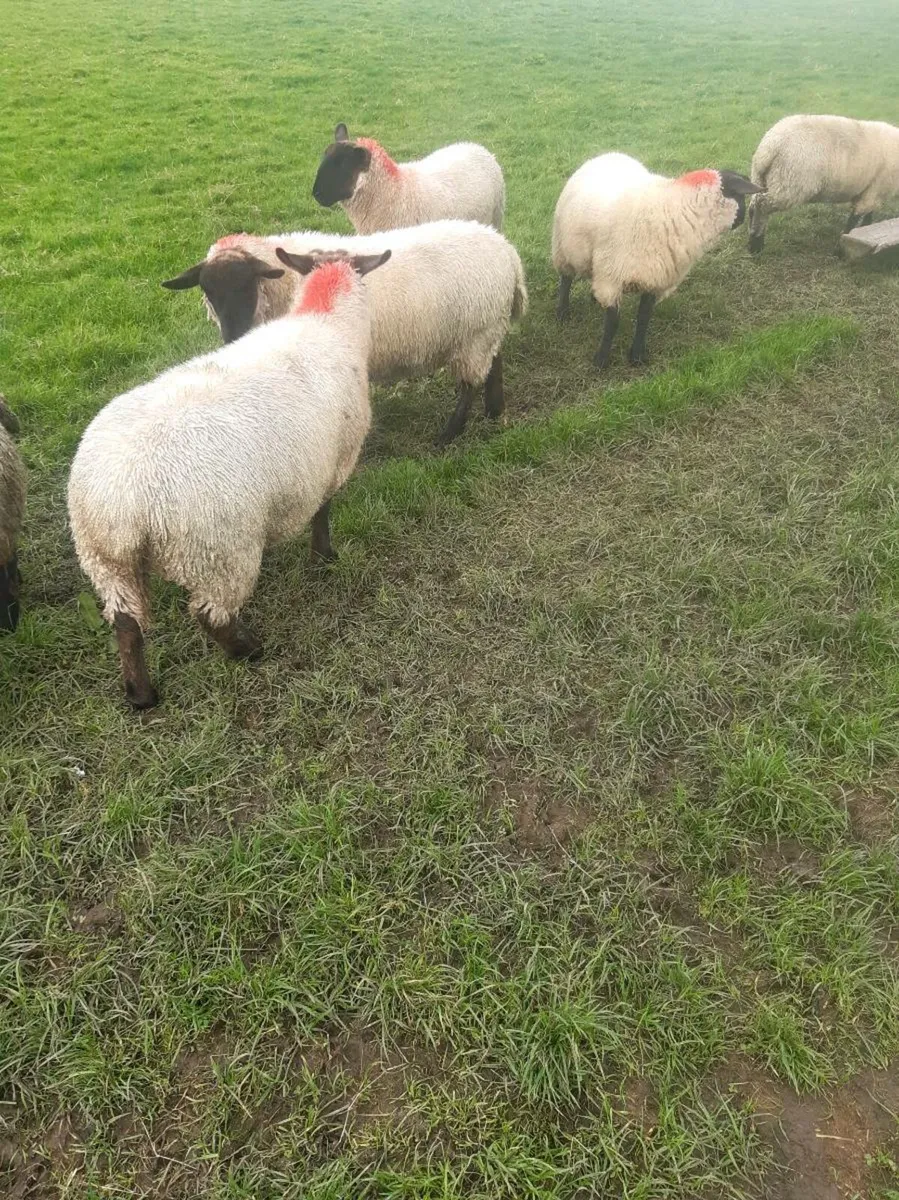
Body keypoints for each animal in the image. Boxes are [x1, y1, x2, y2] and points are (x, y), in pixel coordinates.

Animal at [68, 249, 391, 709]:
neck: (325, 319)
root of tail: (122, 506)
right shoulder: (332, 464)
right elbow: (322, 514)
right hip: (216, 552)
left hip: (105, 563)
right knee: (211, 615)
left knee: (126, 624)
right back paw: (249, 650)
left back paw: (142, 695)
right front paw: (324, 556)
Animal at [162, 220, 528, 445]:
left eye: (249, 285)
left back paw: (449, 434)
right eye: (207, 291)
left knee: (470, 383)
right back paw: (494, 410)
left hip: (476, 333)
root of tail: (508, 251)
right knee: (494, 362)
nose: (233, 335)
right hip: (487, 328)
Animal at [552, 153, 761, 369]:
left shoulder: (655, 277)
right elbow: (612, 323)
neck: (676, 208)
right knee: (566, 279)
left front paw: (637, 355)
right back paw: (562, 313)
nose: (741, 220)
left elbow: (644, 316)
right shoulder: (612, 278)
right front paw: (601, 359)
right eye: (741, 196)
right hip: (563, 247)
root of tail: (608, 154)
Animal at [748, 114, 899, 254]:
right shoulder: (875, 190)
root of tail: (770, 146)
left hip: (761, 179)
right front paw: (842, 247)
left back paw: (753, 238)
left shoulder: (873, 192)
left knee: (753, 205)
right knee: (762, 207)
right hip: (788, 184)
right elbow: (855, 219)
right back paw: (756, 244)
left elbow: (868, 214)